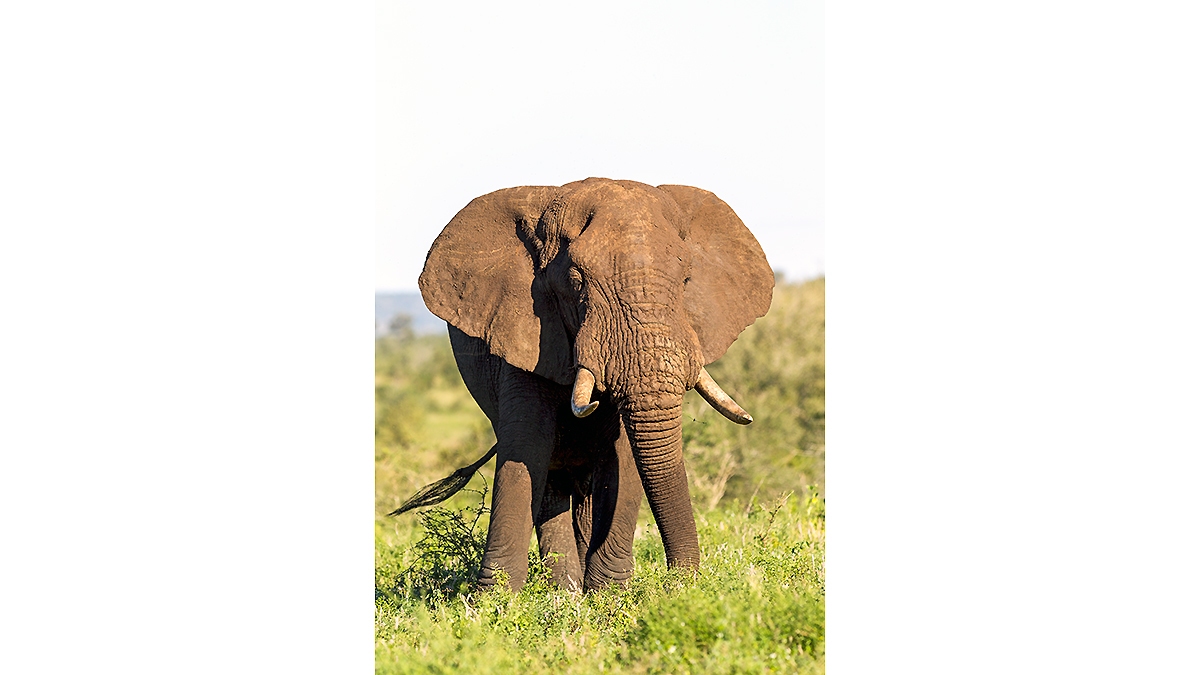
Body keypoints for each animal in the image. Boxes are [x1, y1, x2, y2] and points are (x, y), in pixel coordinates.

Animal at [395, 177, 773, 592]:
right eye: (576, 282)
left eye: (687, 280)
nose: (682, 582)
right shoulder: (524, 332)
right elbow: (527, 446)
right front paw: (494, 603)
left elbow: (623, 455)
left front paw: (609, 596)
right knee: (551, 480)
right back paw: (565, 593)